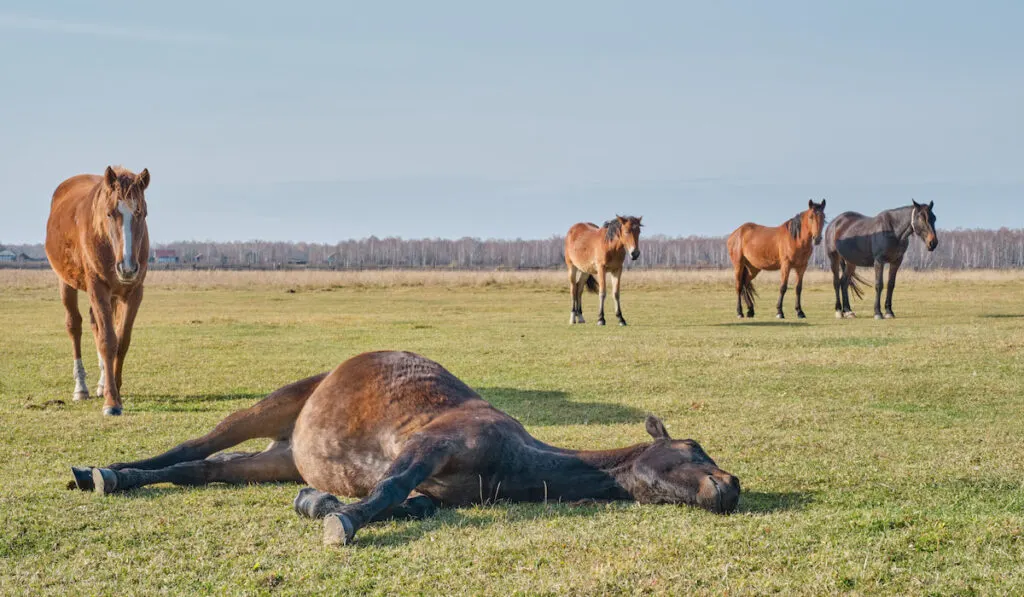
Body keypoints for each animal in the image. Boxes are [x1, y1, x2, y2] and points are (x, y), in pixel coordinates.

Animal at [45, 164, 149, 415]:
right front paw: (112, 402)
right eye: (110, 213)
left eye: (142, 213)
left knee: (95, 324)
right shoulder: (98, 288)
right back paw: (81, 388)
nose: (127, 267)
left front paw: (114, 389)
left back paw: (101, 384)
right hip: (67, 283)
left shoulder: (134, 293)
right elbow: (107, 341)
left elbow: (121, 341)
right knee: (74, 326)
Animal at [74, 350, 745, 544]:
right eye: (694, 448)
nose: (731, 486)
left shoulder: (434, 487)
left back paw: (116, 477)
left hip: (274, 459)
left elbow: (408, 502)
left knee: (201, 469)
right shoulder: (427, 448)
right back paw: (103, 471)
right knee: (194, 444)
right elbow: (389, 490)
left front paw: (318, 504)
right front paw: (341, 521)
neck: (512, 460)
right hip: (268, 408)